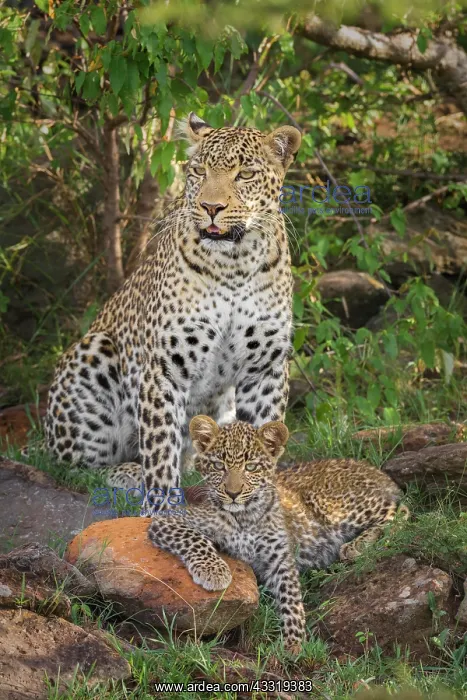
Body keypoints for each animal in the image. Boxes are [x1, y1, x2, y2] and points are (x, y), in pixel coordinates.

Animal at [45, 113, 302, 513]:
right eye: (198, 170)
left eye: (244, 174)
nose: (211, 207)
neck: (234, 263)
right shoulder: (165, 367)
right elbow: (161, 444)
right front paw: (162, 508)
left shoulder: (265, 368)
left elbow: (262, 435)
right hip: (94, 353)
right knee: (79, 468)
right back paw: (131, 474)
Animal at [148, 416, 409, 654]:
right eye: (219, 466)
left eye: (251, 467)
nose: (233, 493)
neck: (244, 517)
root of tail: (374, 470)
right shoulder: (166, 520)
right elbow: (194, 538)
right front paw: (214, 571)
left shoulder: (280, 559)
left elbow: (290, 597)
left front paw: (293, 643)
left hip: (331, 505)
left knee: (400, 509)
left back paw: (357, 545)